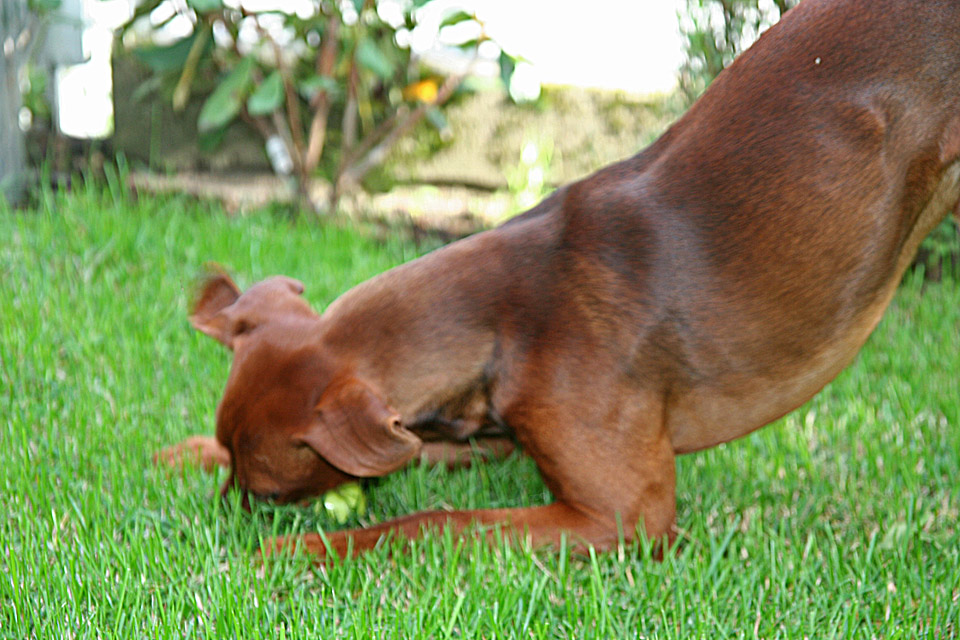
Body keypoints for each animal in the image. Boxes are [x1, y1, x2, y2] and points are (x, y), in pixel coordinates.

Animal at [157, 0, 960, 559]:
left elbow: (430, 519)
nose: (222, 513)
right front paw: (182, 451)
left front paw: (303, 548)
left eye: (267, 490)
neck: (501, 318)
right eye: (236, 471)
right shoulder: (472, 434)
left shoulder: (624, 515)